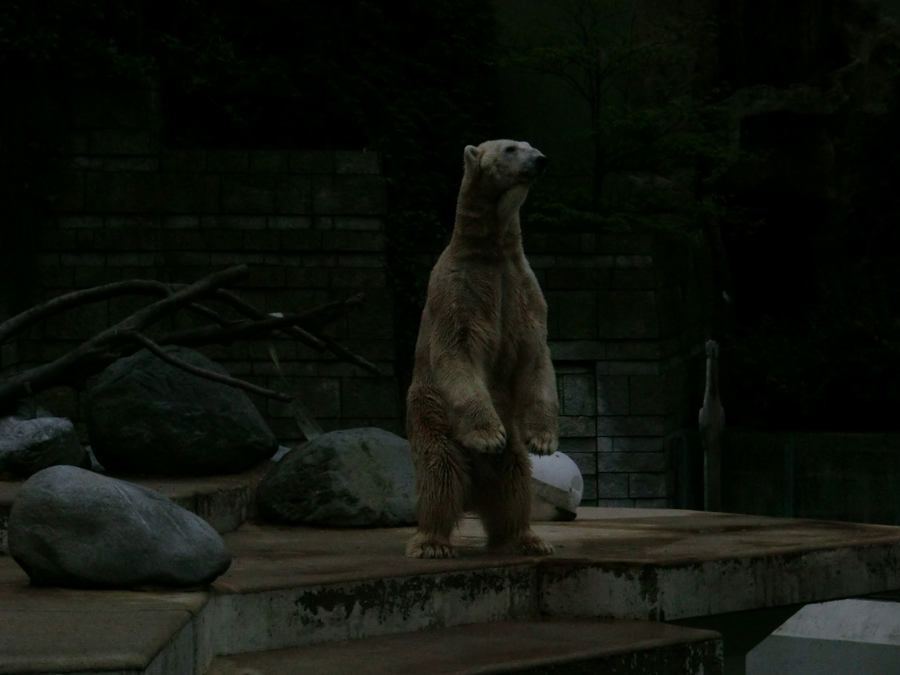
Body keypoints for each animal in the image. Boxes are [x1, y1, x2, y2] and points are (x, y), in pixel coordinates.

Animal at [406, 139, 560, 560]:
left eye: (530, 144)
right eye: (510, 148)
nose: (541, 160)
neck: (492, 251)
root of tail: (474, 495)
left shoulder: (523, 290)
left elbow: (536, 356)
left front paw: (543, 439)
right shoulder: (458, 292)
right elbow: (456, 354)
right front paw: (488, 436)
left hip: (507, 458)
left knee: (515, 481)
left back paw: (526, 538)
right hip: (431, 415)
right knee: (440, 473)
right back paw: (432, 542)